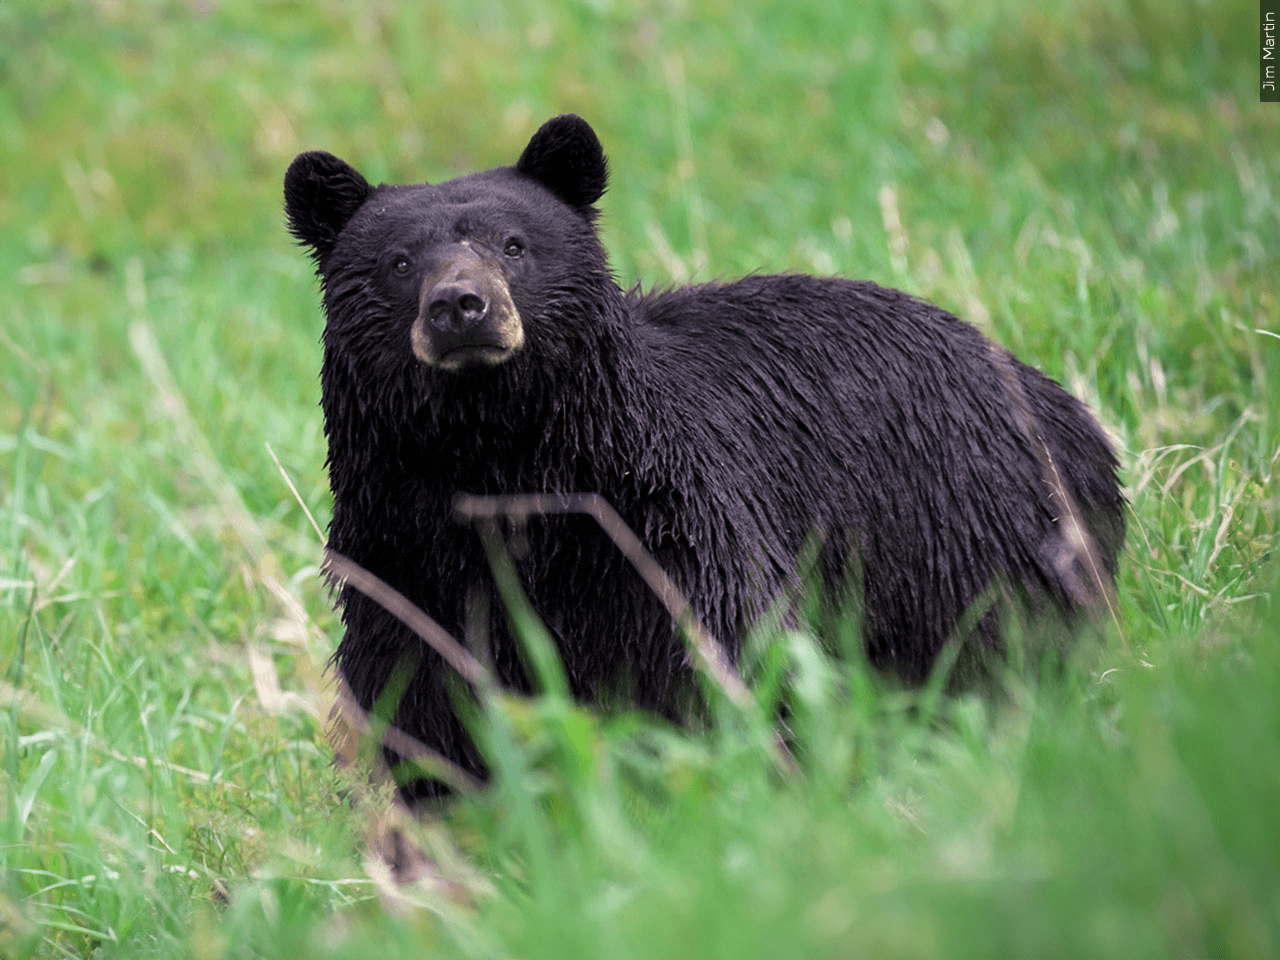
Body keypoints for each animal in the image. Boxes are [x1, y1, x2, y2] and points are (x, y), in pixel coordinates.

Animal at [284, 114, 1125, 799]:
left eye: (515, 245)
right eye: (398, 262)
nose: (461, 307)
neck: (501, 464)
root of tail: (1063, 407)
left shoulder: (659, 530)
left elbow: (713, 658)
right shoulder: (404, 560)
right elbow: (425, 708)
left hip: (962, 530)